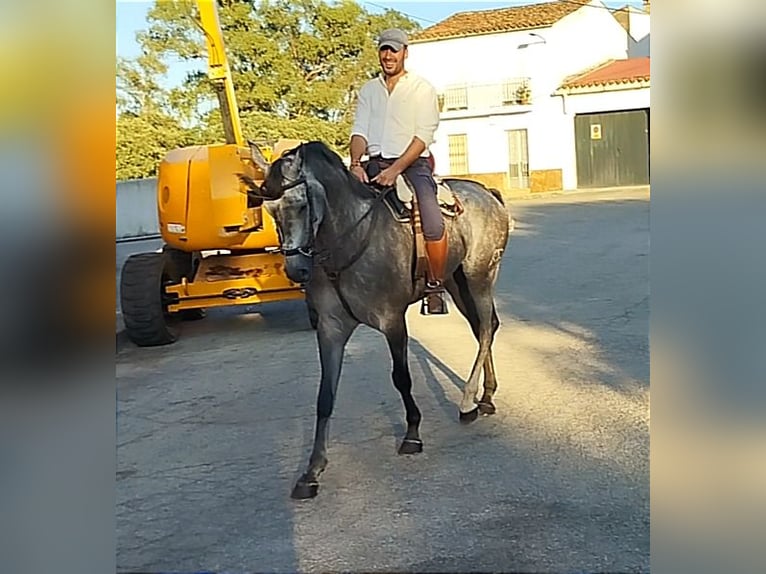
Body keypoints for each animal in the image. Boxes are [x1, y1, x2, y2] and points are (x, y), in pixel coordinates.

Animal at [243, 143, 512, 500]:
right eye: (270, 211)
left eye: (300, 205)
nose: (296, 270)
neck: (348, 240)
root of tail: (486, 192)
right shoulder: (330, 330)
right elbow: (324, 395)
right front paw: (312, 470)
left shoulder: (392, 321)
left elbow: (401, 378)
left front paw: (412, 433)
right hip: (457, 283)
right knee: (484, 328)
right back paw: (486, 396)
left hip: (479, 276)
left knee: (484, 330)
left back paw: (469, 402)